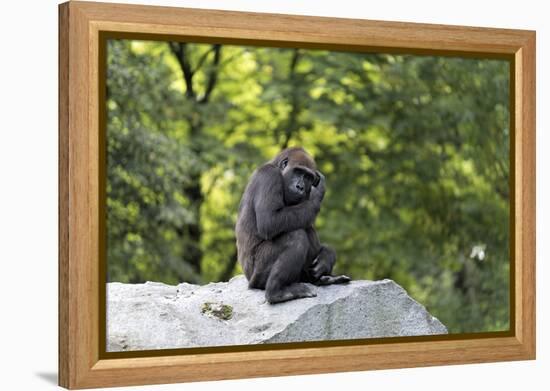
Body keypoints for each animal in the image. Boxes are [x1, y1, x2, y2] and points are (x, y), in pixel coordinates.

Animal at [236, 149, 350, 304]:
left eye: (308, 177)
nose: (300, 187)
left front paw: (327, 255)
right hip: (256, 277)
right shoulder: (269, 176)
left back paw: (322, 279)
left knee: (305, 229)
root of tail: (248, 280)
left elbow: (305, 217)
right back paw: (276, 292)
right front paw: (317, 193)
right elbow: (270, 221)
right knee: (296, 236)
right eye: (298, 171)